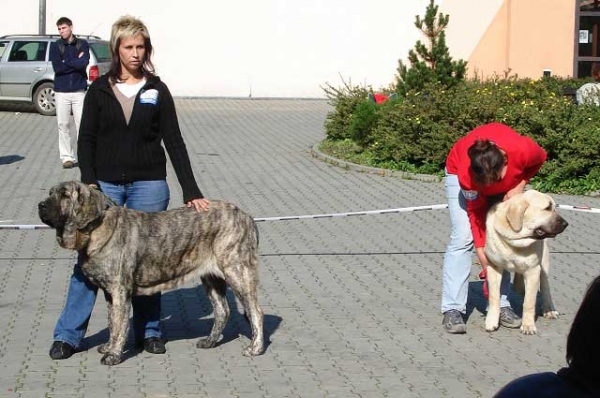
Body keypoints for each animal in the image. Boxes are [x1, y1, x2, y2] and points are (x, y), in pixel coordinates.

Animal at [37, 180, 262, 364]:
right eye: (50, 193)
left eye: (65, 195)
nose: (41, 205)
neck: (95, 230)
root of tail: (247, 217)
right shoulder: (110, 293)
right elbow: (112, 323)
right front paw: (109, 347)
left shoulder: (119, 291)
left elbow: (119, 325)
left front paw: (113, 355)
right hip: (211, 278)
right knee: (223, 310)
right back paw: (210, 341)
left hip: (237, 271)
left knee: (256, 312)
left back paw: (255, 348)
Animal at [482, 188, 568, 334]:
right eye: (547, 208)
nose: (566, 224)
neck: (514, 241)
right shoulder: (494, 267)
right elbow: (494, 297)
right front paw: (491, 321)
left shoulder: (533, 271)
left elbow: (529, 302)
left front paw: (528, 325)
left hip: (543, 265)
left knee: (545, 288)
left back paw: (549, 310)